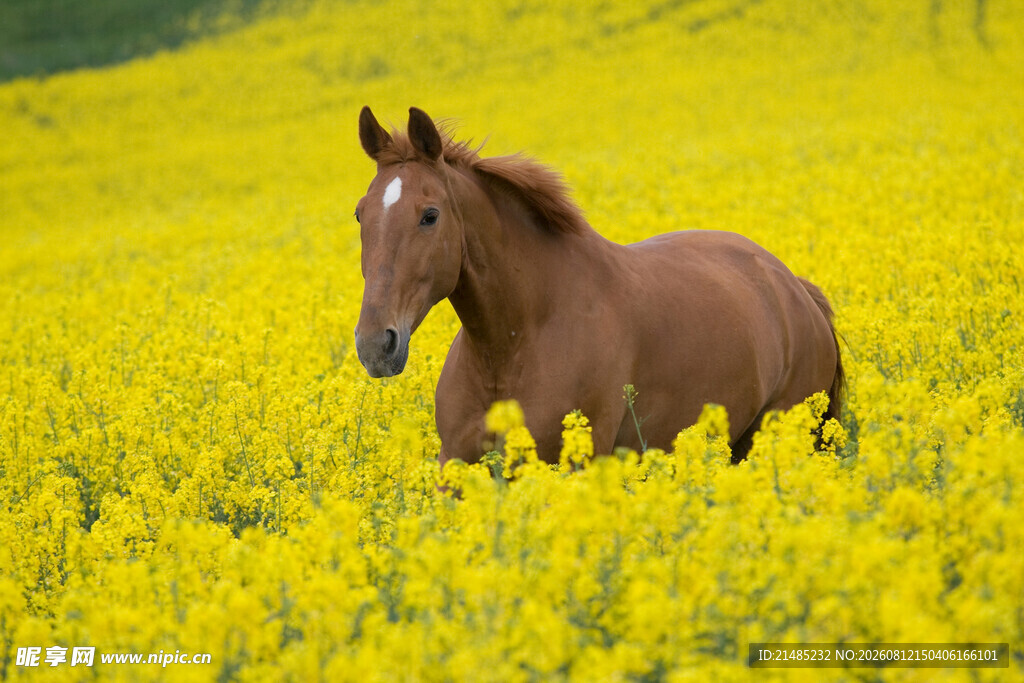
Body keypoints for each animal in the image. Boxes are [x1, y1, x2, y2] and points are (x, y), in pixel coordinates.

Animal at [353, 106, 844, 466]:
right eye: (360, 213)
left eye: (430, 215)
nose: (376, 345)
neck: (513, 344)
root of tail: (795, 288)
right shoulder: (455, 465)